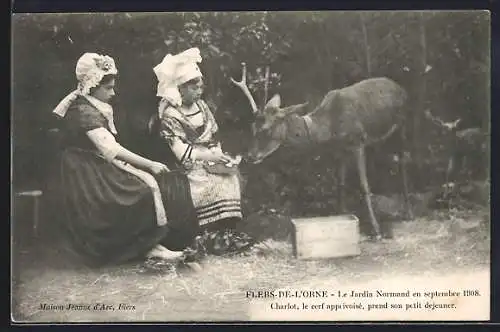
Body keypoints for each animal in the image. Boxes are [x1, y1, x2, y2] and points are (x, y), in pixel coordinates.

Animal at [230, 62, 414, 240]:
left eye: (266, 129)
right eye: (252, 127)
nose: (250, 155)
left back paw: (408, 213)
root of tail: (400, 87)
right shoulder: (340, 149)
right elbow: (340, 183)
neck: (329, 128)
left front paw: (376, 231)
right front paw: (341, 215)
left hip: (402, 123)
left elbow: (364, 185)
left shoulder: (358, 141)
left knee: (403, 162)